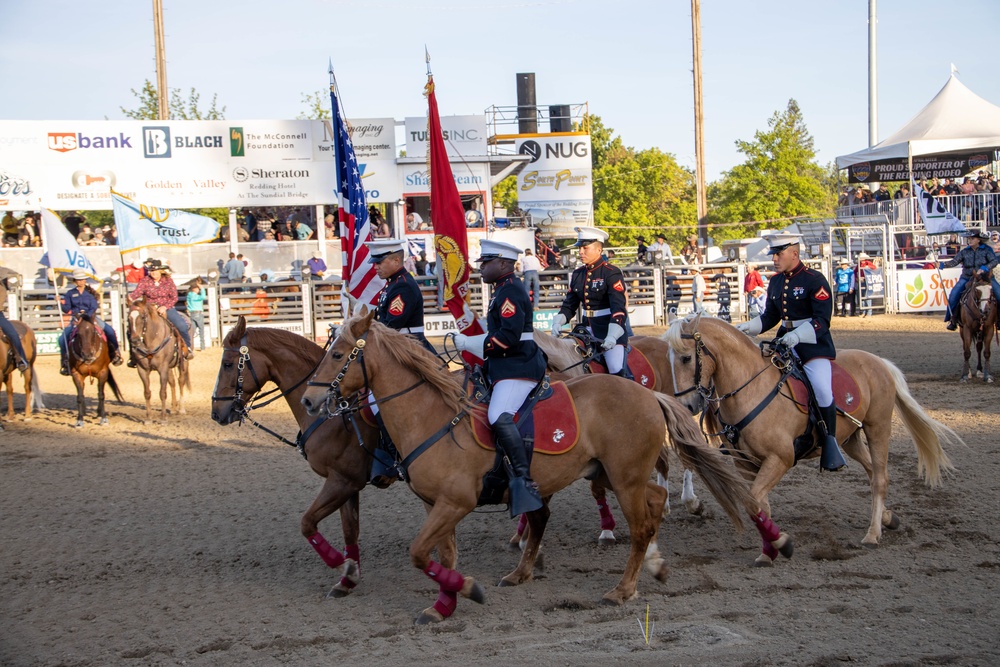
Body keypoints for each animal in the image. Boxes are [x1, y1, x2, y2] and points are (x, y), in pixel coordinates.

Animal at [300, 314, 752, 628]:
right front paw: (445, 604)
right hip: (609, 474)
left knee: (641, 524)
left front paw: (466, 590)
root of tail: (647, 393)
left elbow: (418, 553)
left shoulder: (455, 503)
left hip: (623, 478)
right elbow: (442, 555)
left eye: (338, 355)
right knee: (655, 501)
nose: (307, 401)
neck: (432, 415)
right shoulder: (438, 505)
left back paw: (622, 589)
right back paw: (654, 564)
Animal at [664, 316, 960, 568]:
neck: (750, 389)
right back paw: (887, 517)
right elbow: (758, 505)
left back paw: (873, 534)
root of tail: (878, 361)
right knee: (874, 472)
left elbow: (756, 501)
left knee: (879, 478)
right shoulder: (745, 464)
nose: (687, 405)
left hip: (878, 428)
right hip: (849, 439)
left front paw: (781, 543)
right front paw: (770, 549)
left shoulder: (780, 459)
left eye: (687, 357)